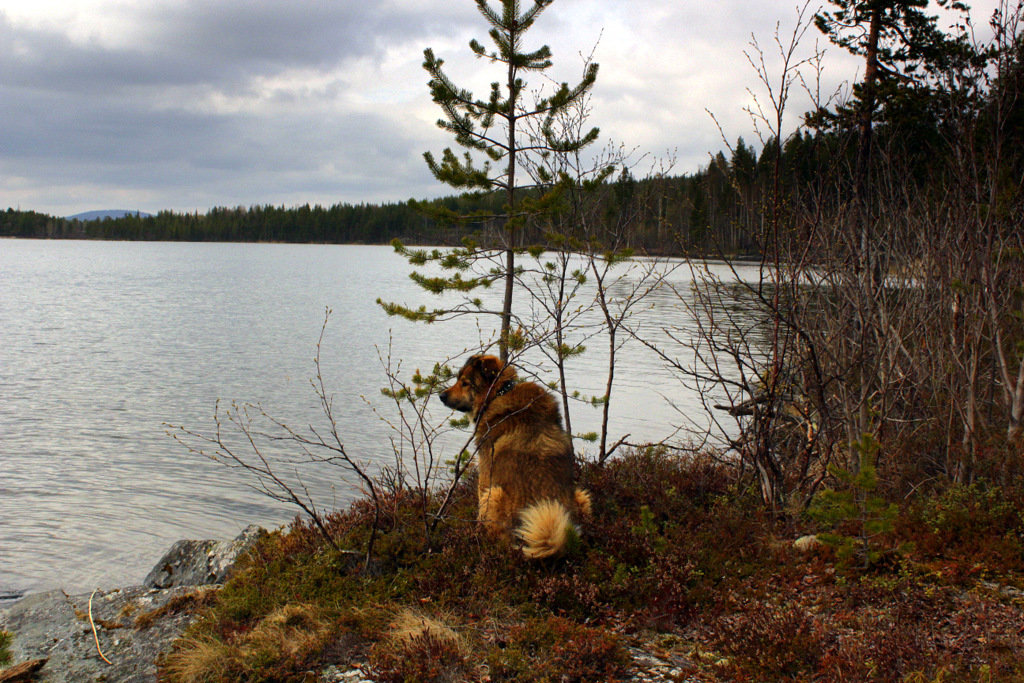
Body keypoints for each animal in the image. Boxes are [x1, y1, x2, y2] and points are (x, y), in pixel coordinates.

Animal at [440, 356, 593, 557]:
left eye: (465, 383)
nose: (441, 395)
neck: (499, 394)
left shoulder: (485, 475)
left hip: (493, 494)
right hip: (581, 495)